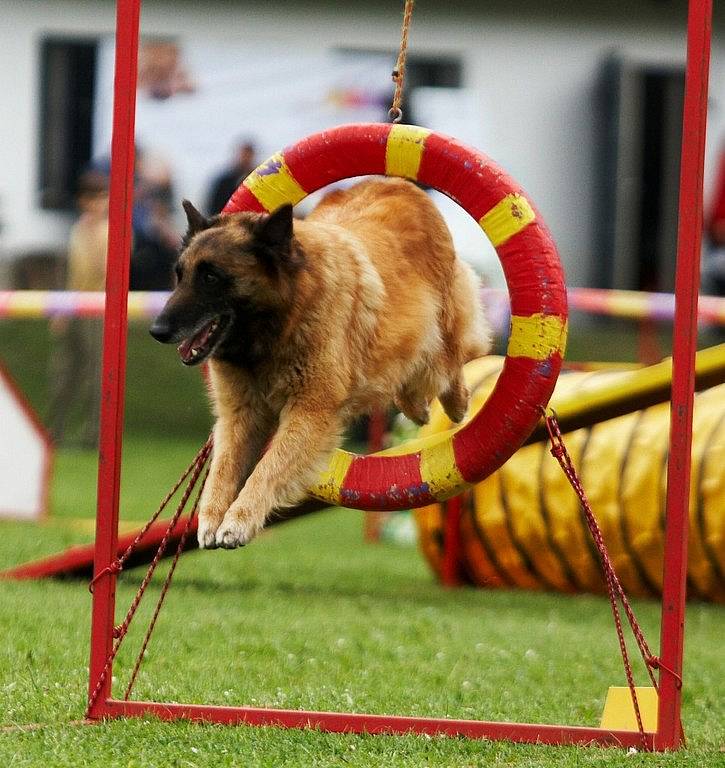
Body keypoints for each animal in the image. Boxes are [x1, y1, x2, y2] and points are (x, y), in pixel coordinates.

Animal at [151, 177, 492, 548]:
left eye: (211, 277)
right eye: (179, 275)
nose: (157, 330)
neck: (281, 324)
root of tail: (393, 181)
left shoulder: (309, 413)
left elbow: (268, 468)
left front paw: (238, 521)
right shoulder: (239, 416)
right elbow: (223, 468)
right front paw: (211, 519)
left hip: (440, 324)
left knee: (449, 360)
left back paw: (456, 403)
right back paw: (417, 408)